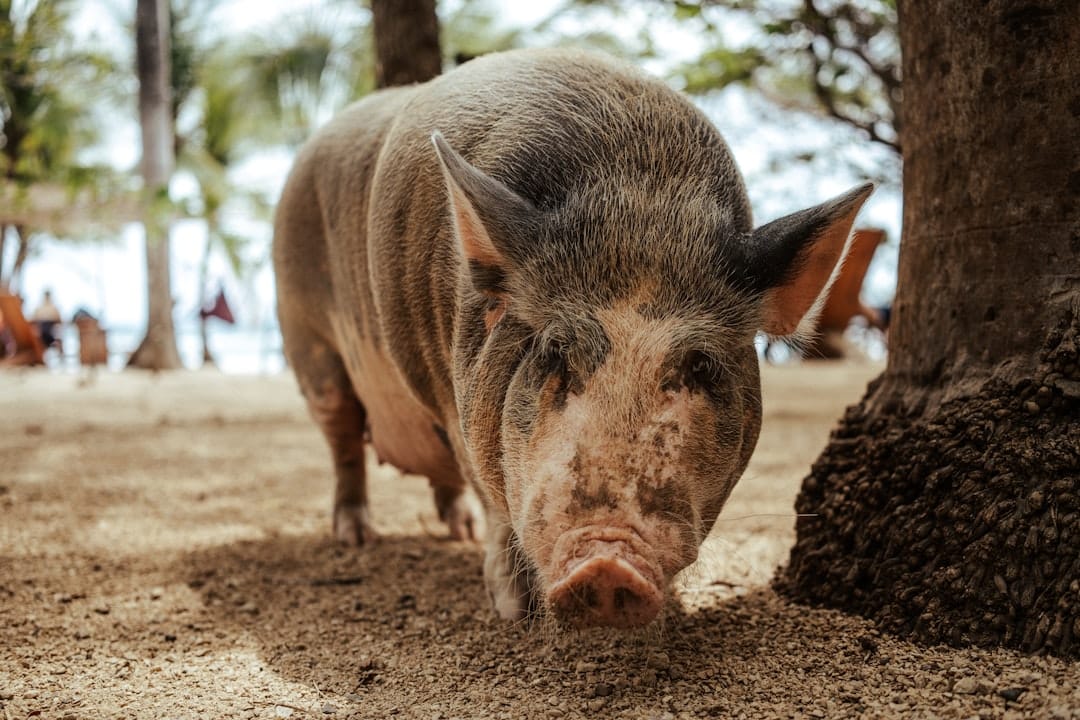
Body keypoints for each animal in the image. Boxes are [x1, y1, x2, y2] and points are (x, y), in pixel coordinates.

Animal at [274, 47, 872, 626]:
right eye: (553, 351)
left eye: (701, 365)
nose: (606, 563)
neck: (639, 199)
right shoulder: (450, 396)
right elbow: (490, 493)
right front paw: (513, 613)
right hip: (307, 338)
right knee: (344, 442)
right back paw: (357, 539)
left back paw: (457, 532)